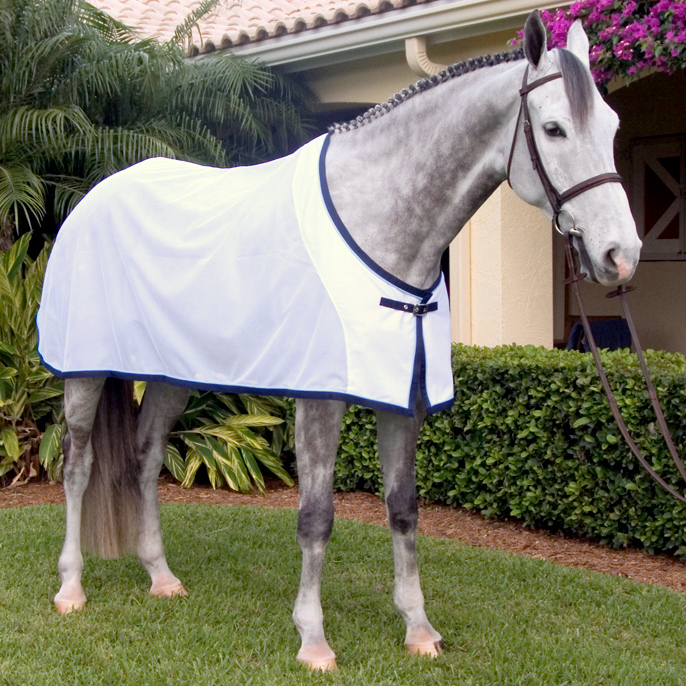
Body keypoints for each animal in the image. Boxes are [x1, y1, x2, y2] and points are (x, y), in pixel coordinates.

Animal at [36, 11, 641, 670]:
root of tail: (94, 197)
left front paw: (418, 629)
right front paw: (313, 639)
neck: (379, 223)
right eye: (554, 128)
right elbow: (316, 517)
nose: (621, 254)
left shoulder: (406, 400)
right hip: (84, 373)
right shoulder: (319, 400)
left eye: (612, 126)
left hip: (174, 375)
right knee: (78, 466)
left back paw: (161, 576)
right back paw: (70, 588)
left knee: (145, 460)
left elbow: (403, 509)